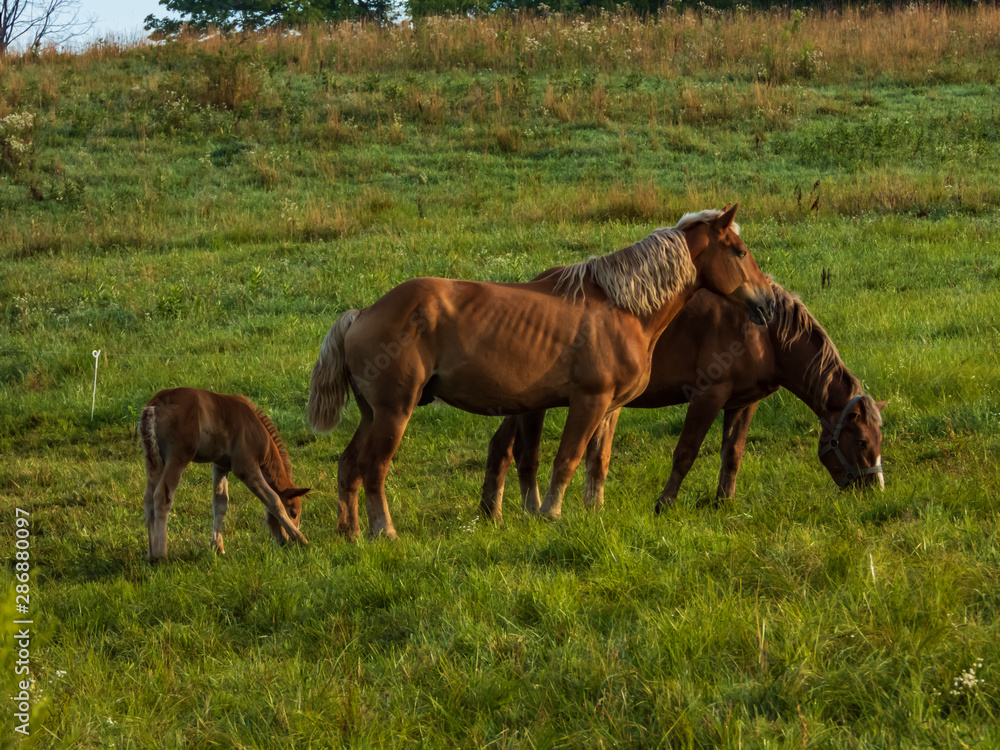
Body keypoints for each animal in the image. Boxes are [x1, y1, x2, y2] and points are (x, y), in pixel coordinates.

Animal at [138, 387, 310, 561]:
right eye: (293, 512)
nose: (284, 543)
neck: (257, 429)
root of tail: (155, 405)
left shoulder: (220, 466)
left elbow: (220, 502)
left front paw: (217, 547)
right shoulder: (246, 468)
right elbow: (273, 500)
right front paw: (300, 539)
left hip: (153, 462)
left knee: (148, 498)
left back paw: (150, 555)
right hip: (178, 457)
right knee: (162, 495)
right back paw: (160, 555)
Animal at [308, 204, 775, 540]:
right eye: (739, 252)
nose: (768, 303)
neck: (621, 307)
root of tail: (363, 313)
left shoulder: (611, 408)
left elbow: (597, 461)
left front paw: (593, 511)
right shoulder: (588, 401)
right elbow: (567, 458)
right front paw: (551, 513)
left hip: (372, 414)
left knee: (349, 465)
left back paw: (349, 532)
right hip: (394, 413)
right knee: (374, 467)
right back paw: (383, 531)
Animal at [480, 281, 886, 519]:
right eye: (862, 442)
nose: (875, 491)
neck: (765, 333)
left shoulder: (743, 403)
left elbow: (732, 454)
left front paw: (724, 502)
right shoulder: (709, 394)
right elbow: (686, 452)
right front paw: (664, 504)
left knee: (502, 445)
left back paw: (490, 513)